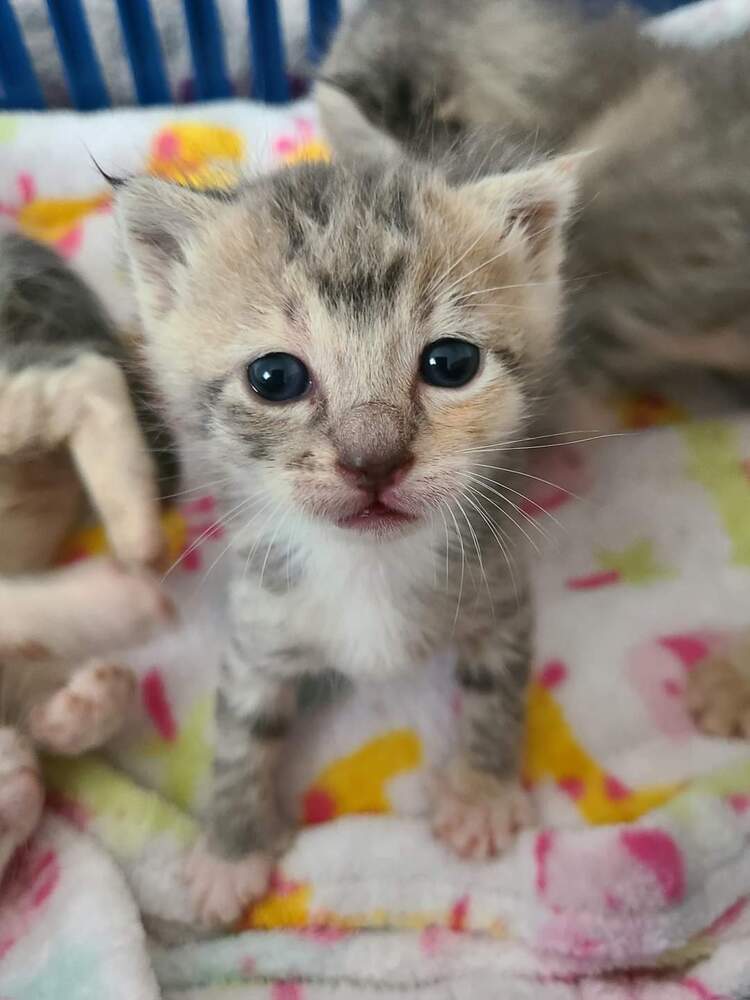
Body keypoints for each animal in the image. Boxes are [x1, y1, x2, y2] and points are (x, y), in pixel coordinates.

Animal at [114, 152, 580, 924]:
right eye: (274, 377)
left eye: (451, 364)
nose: (373, 460)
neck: (369, 565)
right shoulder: (261, 620)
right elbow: (241, 729)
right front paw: (231, 849)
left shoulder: (500, 584)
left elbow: (498, 689)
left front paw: (480, 793)